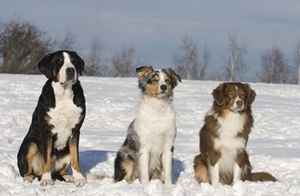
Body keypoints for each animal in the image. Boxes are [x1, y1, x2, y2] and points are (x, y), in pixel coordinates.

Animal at [17, 50, 86, 187]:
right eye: (59, 62)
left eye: (73, 61)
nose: (71, 70)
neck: (64, 94)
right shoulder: (46, 131)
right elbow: (46, 159)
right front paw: (46, 180)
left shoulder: (75, 131)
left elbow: (76, 158)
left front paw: (79, 178)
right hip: (30, 144)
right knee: (27, 171)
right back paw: (29, 178)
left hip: (66, 152)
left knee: (62, 170)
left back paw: (68, 177)